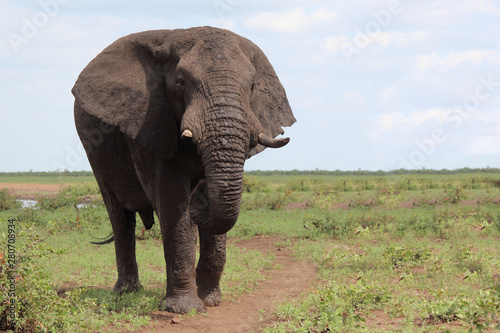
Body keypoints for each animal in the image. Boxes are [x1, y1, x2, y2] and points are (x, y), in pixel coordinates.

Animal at [72, 26, 294, 314]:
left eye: (253, 86)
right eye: (180, 83)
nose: (200, 189)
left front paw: (211, 300)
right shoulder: (149, 122)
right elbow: (172, 202)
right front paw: (185, 309)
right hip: (94, 151)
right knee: (119, 216)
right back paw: (126, 292)